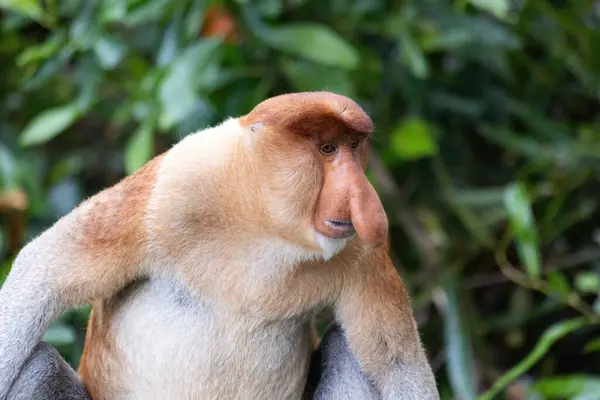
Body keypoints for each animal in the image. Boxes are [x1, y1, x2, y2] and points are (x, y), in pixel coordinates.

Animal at [0, 91, 438, 400]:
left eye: (355, 146)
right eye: (327, 148)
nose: (364, 201)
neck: (262, 225)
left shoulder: (361, 251)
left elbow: (396, 365)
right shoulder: (176, 183)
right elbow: (44, 273)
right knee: (38, 365)